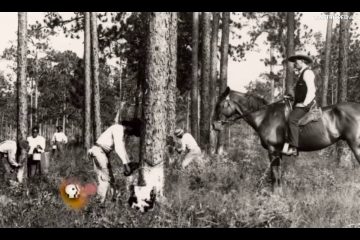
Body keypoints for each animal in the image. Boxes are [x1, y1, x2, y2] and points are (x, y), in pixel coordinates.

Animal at [212, 87, 360, 192]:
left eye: (220, 105)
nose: (214, 125)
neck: (265, 116)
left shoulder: (272, 151)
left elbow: (274, 175)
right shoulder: (278, 152)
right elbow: (278, 175)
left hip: (356, 146)